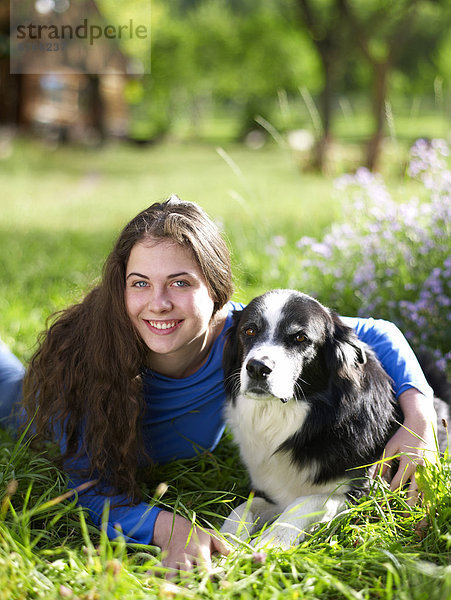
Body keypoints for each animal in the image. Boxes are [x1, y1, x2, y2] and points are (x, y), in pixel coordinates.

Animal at [221, 290, 450, 548]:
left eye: (300, 337)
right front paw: (225, 539)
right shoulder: (271, 491)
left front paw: (270, 543)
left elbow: (305, 502)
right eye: (249, 331)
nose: (257, 368)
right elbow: (243, 507)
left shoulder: (366, 495)